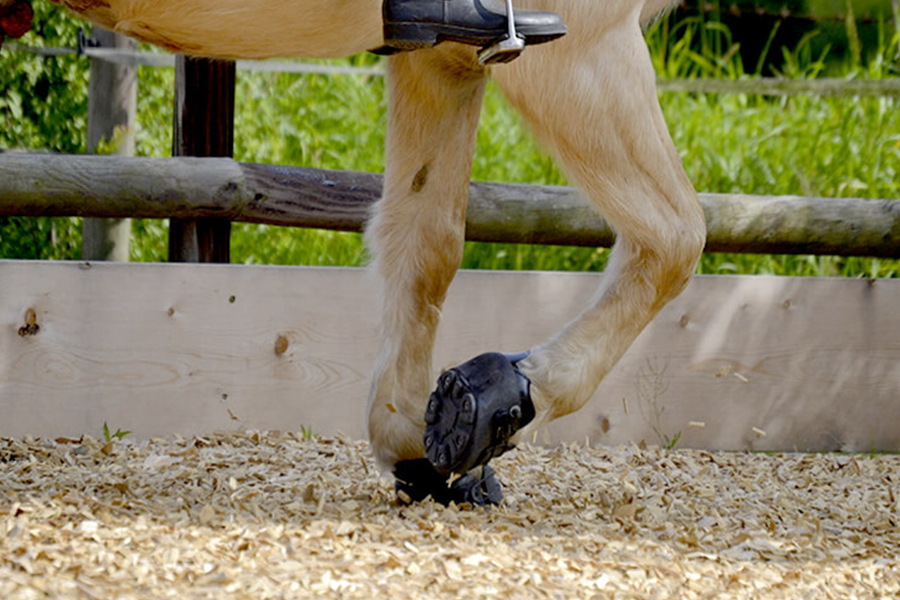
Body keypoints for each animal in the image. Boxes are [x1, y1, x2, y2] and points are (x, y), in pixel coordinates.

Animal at [38, 0, 708, 506]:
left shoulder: (441, 58)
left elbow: (426, 241)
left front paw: (417, 435)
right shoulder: (585, 43)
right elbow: (676, 239)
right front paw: (507, 398)